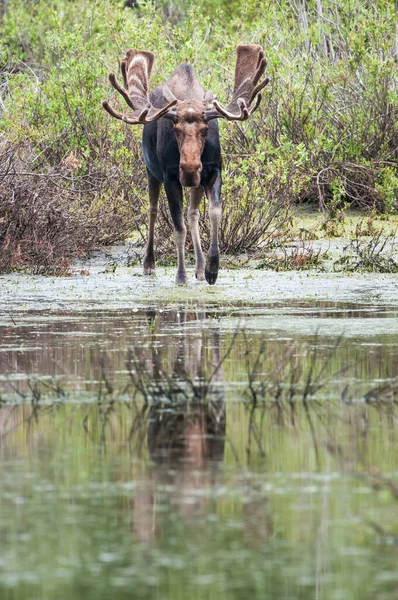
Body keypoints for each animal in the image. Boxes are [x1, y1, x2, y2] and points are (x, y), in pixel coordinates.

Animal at [103, 45, 270, 284]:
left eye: (206, 129)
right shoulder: (170, 177)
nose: (190, 168)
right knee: (153, 210)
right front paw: (181, 275)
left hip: (194, 183)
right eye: (175, 129)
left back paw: (199, 268)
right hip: (151, 172)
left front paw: (212, 268)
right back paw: (149, 263)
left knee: (193, 213)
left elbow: (214, 212)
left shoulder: (213, 170)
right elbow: (178, 227)